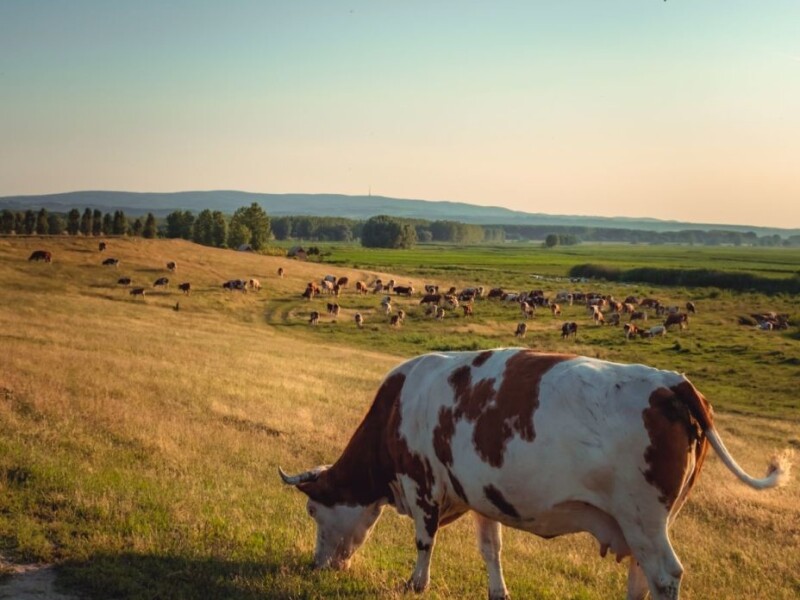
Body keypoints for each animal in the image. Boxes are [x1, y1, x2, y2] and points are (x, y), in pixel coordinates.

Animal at [279, 349, 790, 600]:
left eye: (311, 511)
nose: (316, 565)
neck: (397, 406)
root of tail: (674, 383)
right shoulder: (481, 493)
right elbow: (491, 549)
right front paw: (497, 591)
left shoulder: (422, 484)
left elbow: (424, 543)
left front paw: (414, 585)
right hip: (649, 523)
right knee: (642, 576)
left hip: (643, 517)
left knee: (664, 576)